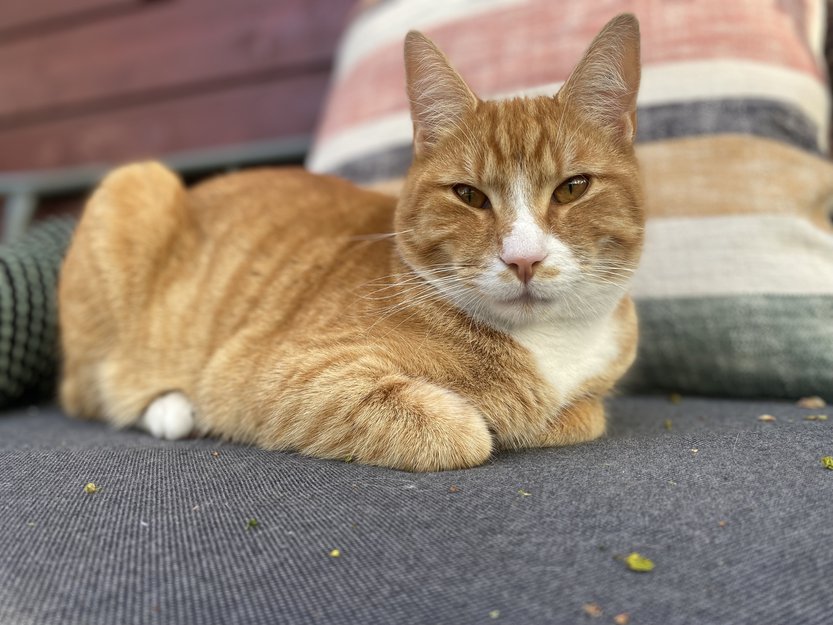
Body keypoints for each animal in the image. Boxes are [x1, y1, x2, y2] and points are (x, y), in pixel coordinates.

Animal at [58, 14, 643, 472]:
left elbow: (582, 413)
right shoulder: (283, 376)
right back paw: (171, 408)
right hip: (134, 184)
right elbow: (464, 432)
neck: (548, 344)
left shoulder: (591, 394)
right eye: (469, 195)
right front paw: (489, 420)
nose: (524, 259)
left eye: (572, 188)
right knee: (89, 390)